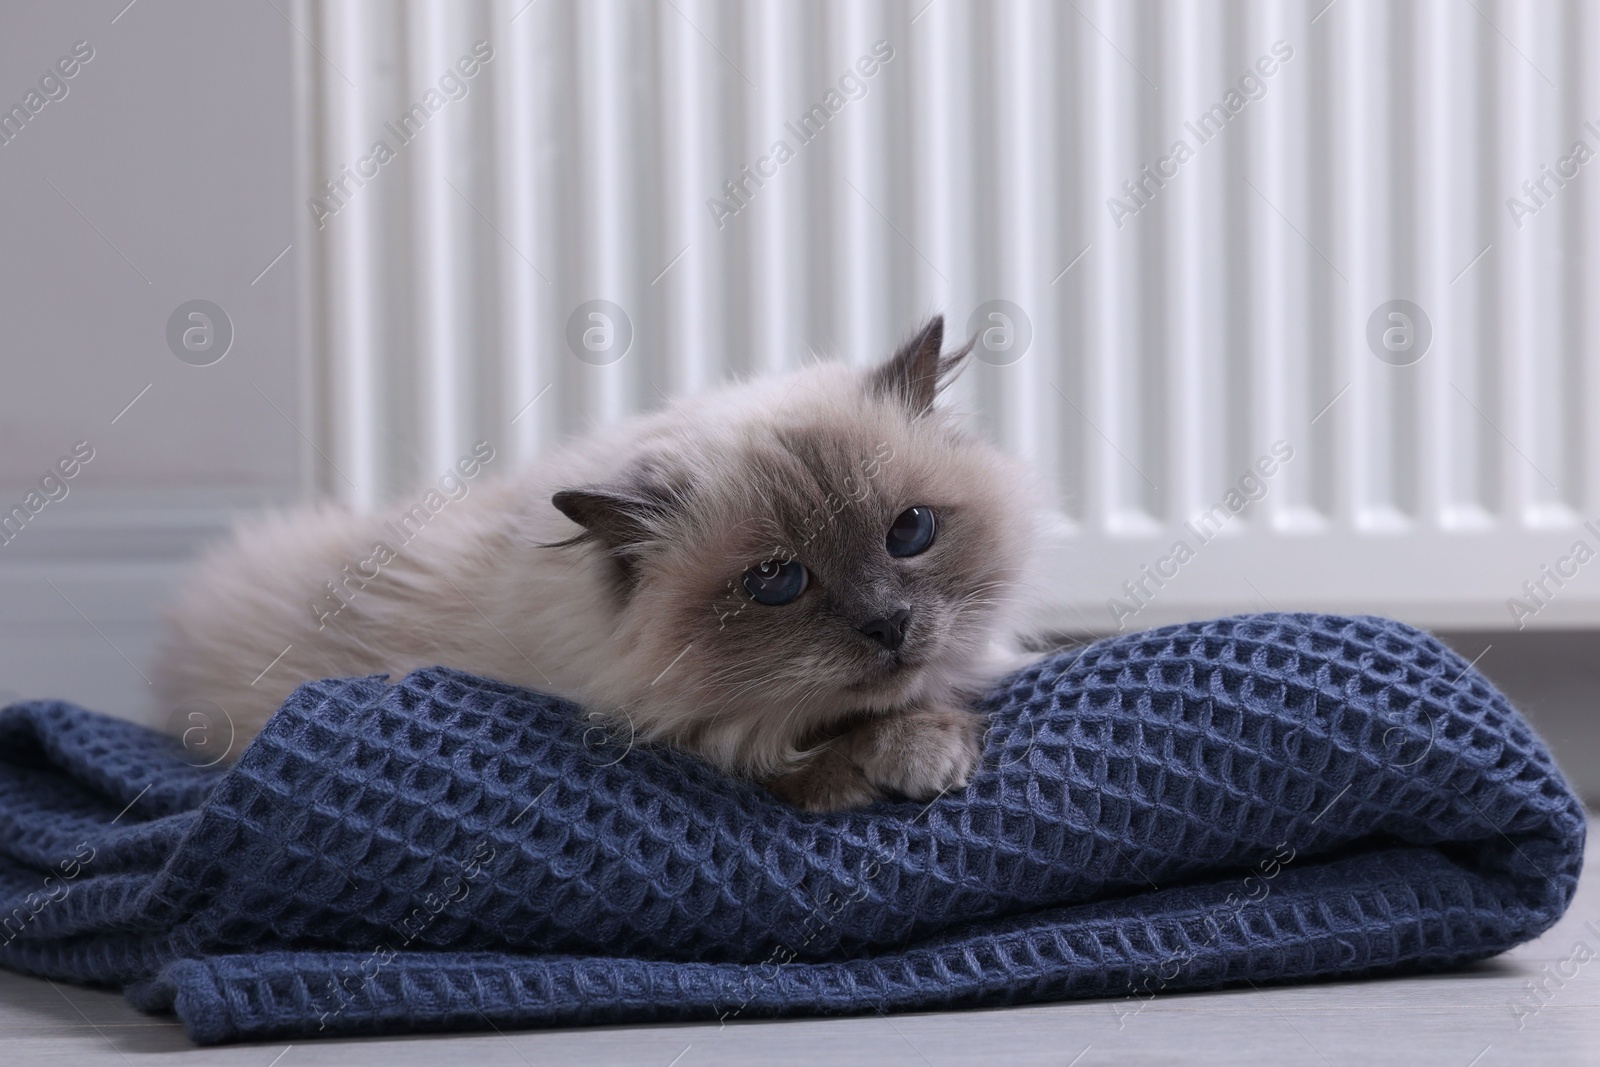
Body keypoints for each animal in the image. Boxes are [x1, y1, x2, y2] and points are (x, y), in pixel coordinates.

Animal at [156, 316, 1043, 809]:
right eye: (777, 582)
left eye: (910, 532)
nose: (887, 624)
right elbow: (776, 760)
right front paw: (898, 765)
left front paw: (926, 749)